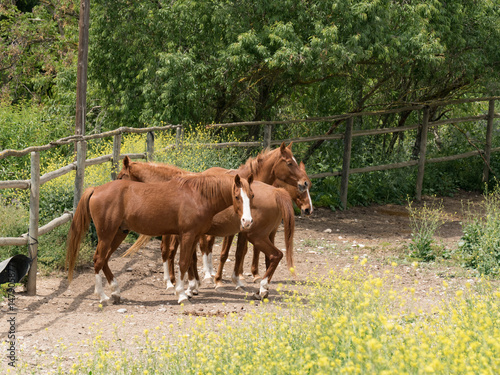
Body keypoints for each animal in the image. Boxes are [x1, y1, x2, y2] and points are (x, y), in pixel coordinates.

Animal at [66, 174, 254, 306]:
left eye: (251, 195)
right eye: (237, 197)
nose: (247, 221)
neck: (198, 196)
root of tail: (96, 189)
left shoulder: (194, 236)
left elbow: (189, 262)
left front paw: (189, 289)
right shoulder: (187, 235)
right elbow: (183, 263)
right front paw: (181, 294)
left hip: (119, 233)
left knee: (104, 260)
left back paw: (116, 292)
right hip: (107, 235)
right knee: (98, 260)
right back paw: (103, 297)